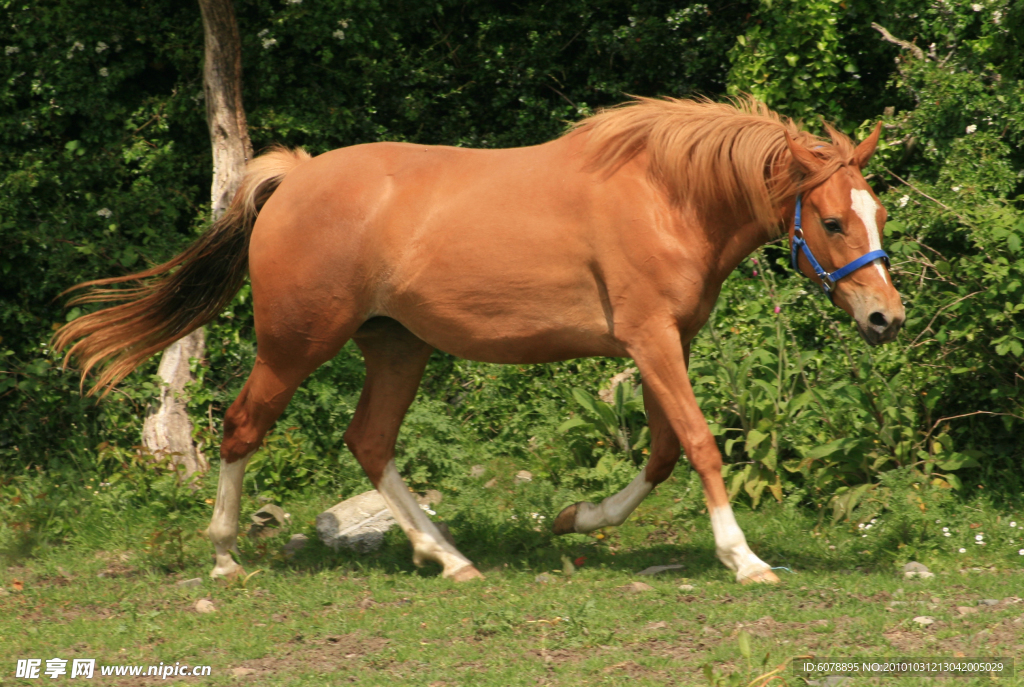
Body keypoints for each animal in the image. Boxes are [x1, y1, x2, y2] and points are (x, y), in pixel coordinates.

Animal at [56, 98, 905, 585]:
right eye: (833, 220)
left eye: (878, 214)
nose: (885, 318)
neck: (667, 197)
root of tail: (293, 178)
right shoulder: (650, 340)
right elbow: (699, 443)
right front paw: (745, 559)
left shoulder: (669, 344)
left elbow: (665, 451)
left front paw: (578, 519)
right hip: (297, 345)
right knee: (242, 427)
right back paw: (226, 553)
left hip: (398, 347)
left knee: (369, 441)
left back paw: (450, 558)